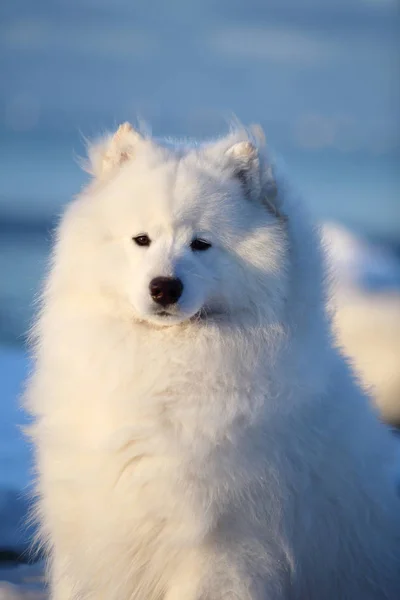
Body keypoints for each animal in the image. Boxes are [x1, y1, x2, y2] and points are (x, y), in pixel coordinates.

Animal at [24, 120, 400, 596]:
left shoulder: (222, 547)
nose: (165, 287)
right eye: (141, 240)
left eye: (201, 244)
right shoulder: (90, 533)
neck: (163, 370)